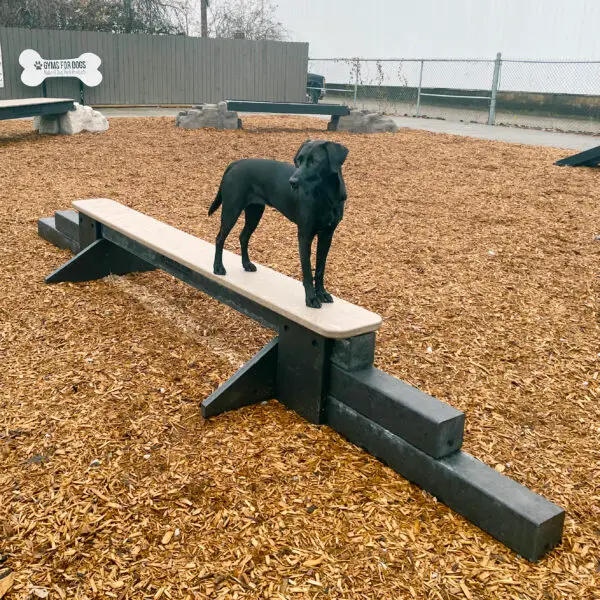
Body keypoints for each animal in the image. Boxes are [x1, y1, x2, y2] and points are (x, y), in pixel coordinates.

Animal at [209, 139, 350, 310]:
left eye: (314, 161)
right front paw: (311, 298)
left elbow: (320, 269)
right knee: (219, 238)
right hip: (231, 210)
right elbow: (307, 271)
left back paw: (247, 264)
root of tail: (235, 163)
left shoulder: (327, 236)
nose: (292, 182)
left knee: (243, 237)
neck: (326, 196)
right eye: (299, 161)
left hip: (255, 212)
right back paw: (218, 267)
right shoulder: (304, 235)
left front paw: (321, 293)